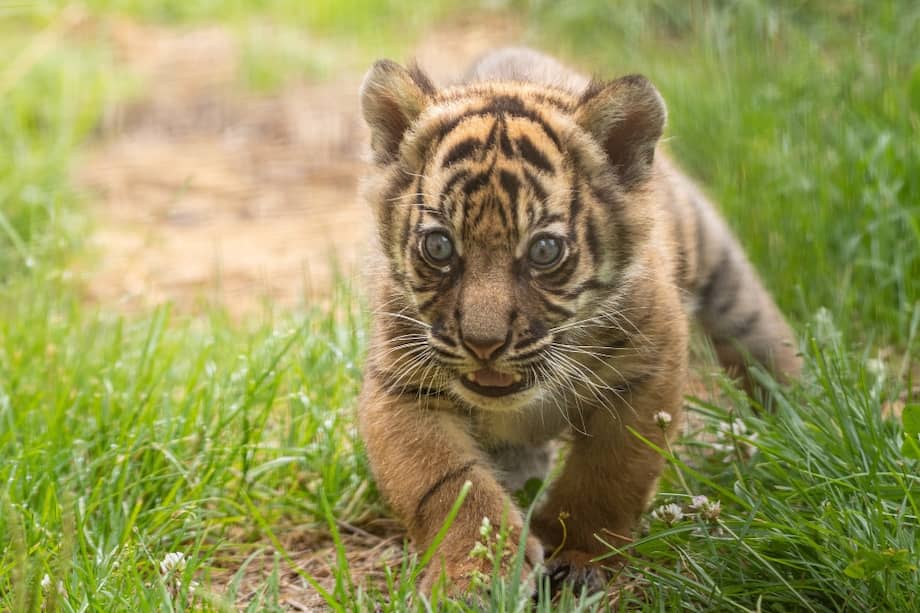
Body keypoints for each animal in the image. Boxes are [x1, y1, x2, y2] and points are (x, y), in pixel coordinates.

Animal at [356, 47, 801, 595]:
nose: (483, 344)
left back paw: (800, 423)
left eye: (545, 251)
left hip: (724, 274)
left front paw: (577, 554)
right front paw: (477, 573)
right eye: (439, 246)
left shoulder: (646, 368)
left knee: (764, 339)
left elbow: (609, 475)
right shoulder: (401, 386)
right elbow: (446, 482)